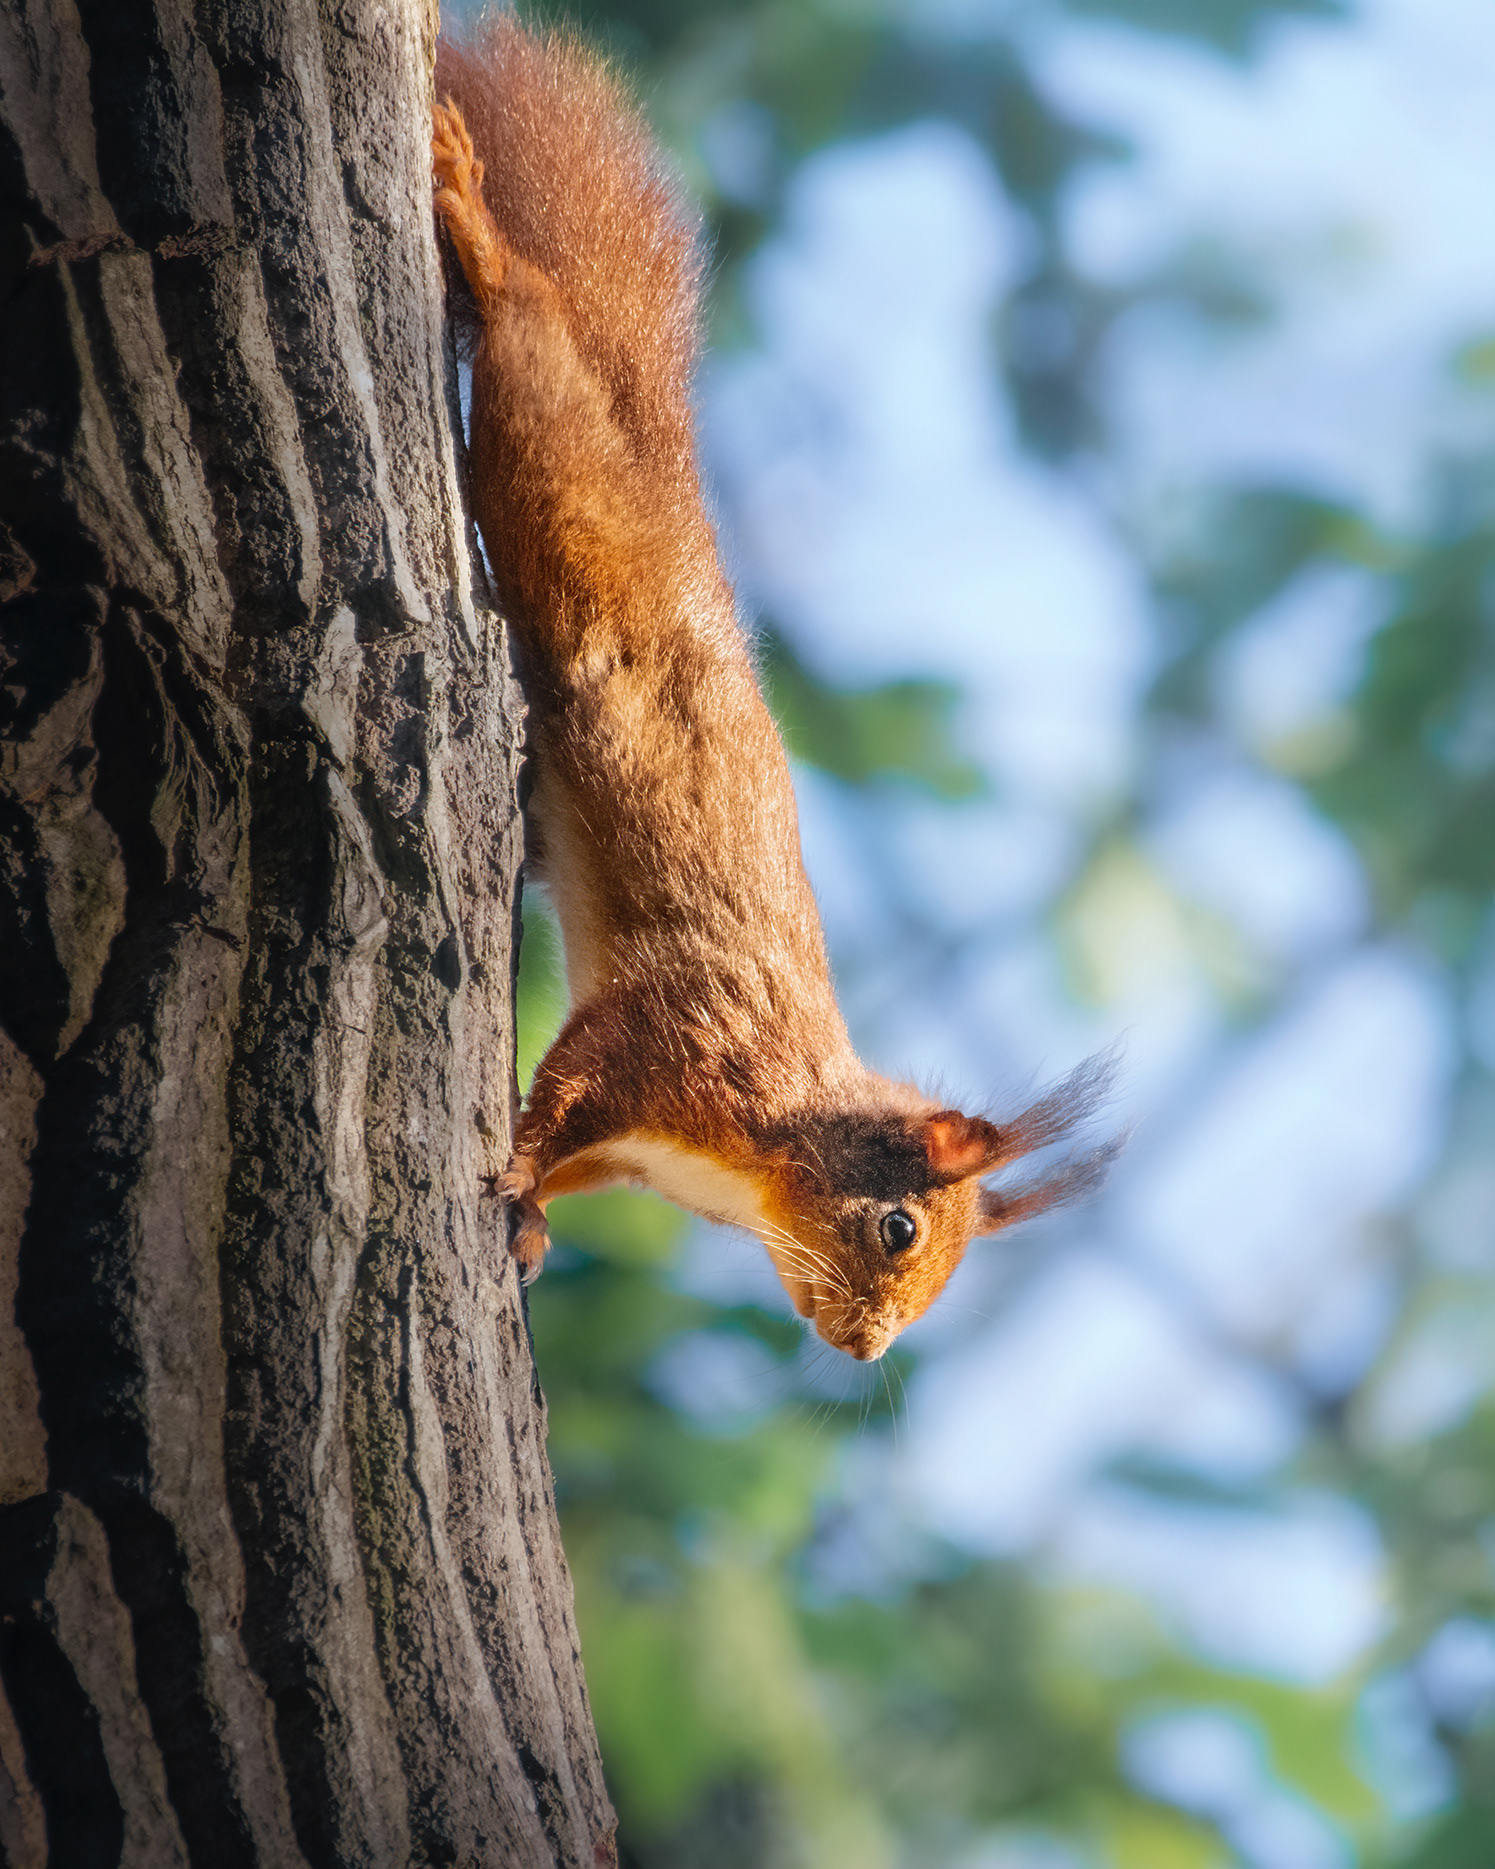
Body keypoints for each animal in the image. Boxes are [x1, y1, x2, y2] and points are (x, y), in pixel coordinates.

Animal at [431, 17, 1115, 1361]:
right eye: (899, 1228)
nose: (865, 1350)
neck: (768, 1136)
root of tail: (663, 475)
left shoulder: (641, 1148)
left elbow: (575, 1168)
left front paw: (531, 1219)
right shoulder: (677, 1036)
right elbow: (567, 1082)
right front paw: (513, 1170)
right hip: (552, 472)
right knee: (529, 322)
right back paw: (469, 210)